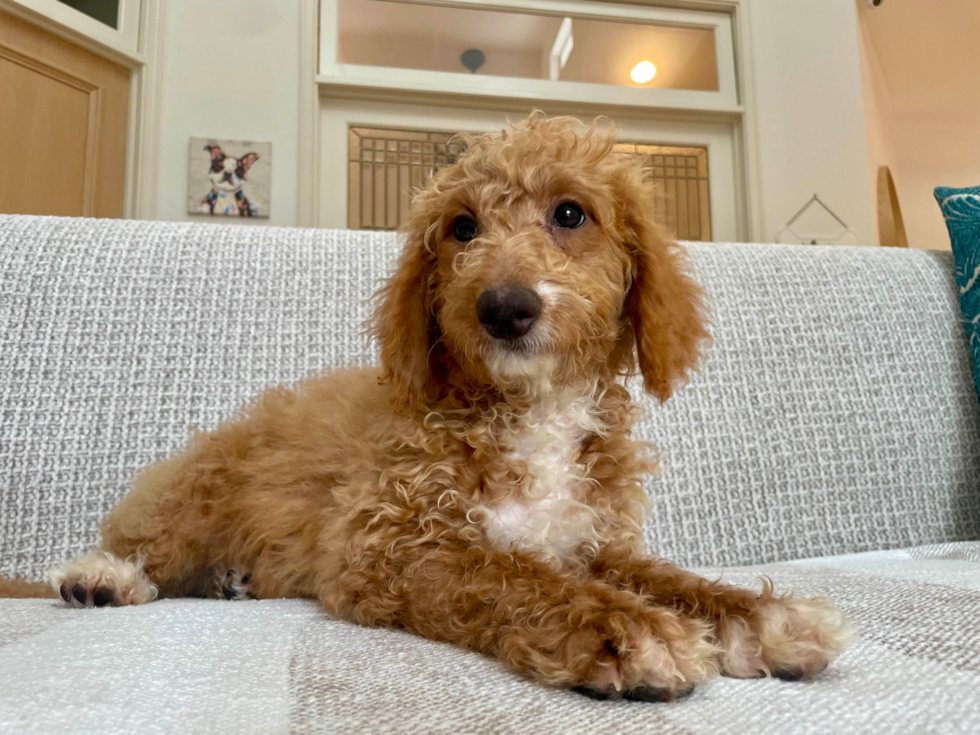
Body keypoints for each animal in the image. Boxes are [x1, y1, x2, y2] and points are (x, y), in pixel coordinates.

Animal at [49, 116, 852, 700]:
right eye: (463, 228)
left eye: (570, 214)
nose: (503, 306)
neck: (533, 409)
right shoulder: (386, 545)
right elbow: (507, 575)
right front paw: (622, 630)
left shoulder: (596, 543)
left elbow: (670, 577)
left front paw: (759, 616)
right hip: (198, 487)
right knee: (147, 543)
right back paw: (104, 577)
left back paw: (233, 581)